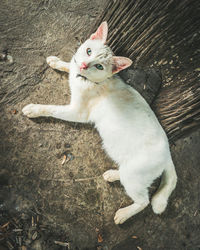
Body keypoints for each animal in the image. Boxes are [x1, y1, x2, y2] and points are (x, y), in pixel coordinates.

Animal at [22, 21, 177, 225]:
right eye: (88, 51)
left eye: (98, 66)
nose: (84, 65)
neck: (87, 81)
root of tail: (168, 153)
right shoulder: (75, 70)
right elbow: (69, 64)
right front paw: (57, 62)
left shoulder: (78, 112)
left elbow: (52, 109)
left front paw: (34, 109)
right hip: (131, 172)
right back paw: (113, 174)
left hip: (135, 177)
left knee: (143, 201)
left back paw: (124, 214)